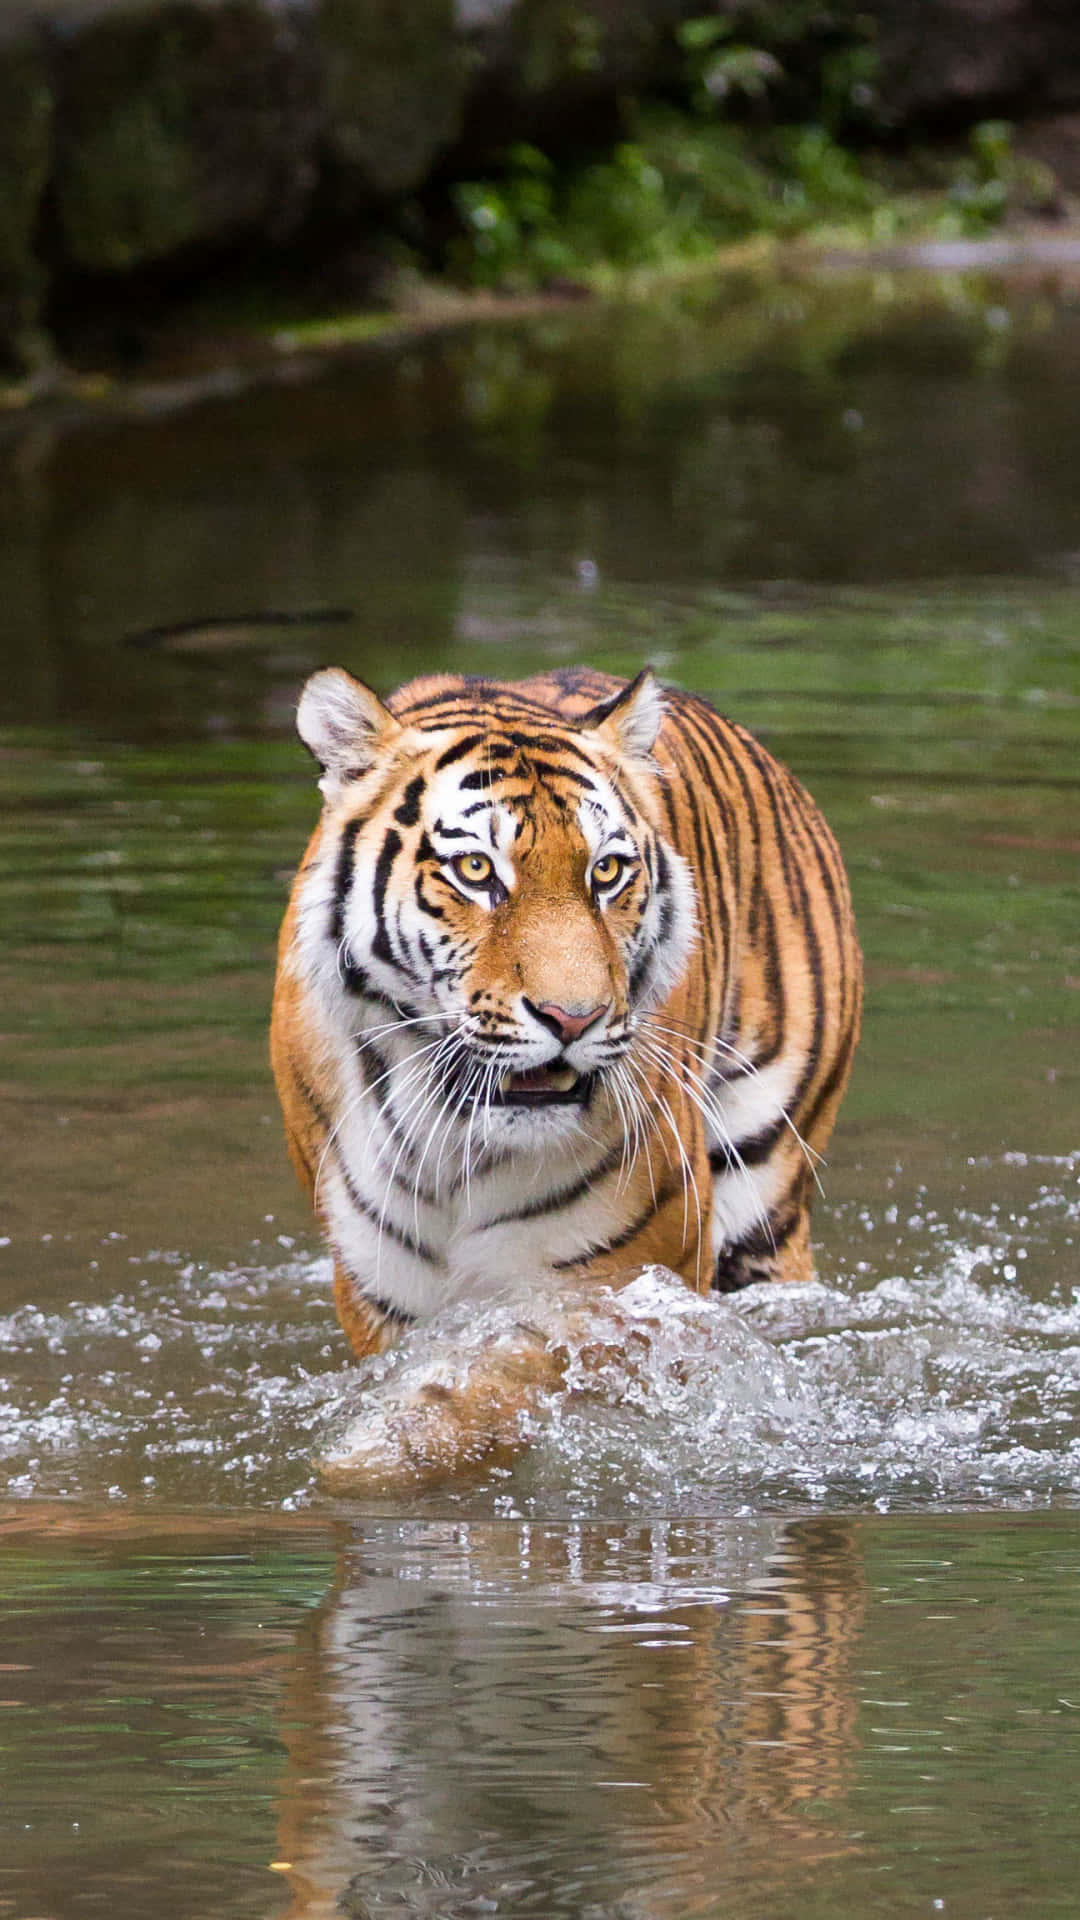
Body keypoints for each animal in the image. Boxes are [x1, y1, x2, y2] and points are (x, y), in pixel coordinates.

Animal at [271, 663, 862, 1385]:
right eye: (475, 870)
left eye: (605, 871)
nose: (573, 1018)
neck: (455, 1145)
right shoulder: (380, 1290)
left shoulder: (615, 1276)